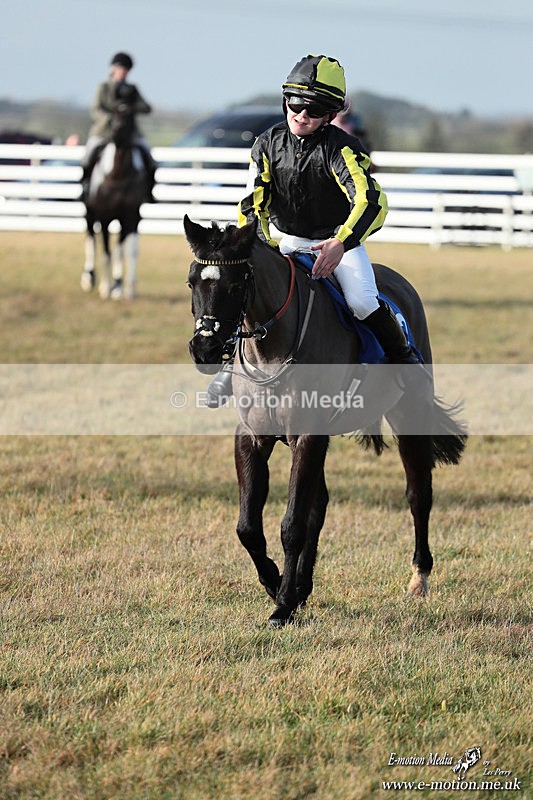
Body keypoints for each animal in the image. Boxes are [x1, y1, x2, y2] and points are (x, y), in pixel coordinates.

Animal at [81, 105, 150, 300]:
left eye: (130, 116)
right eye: (112, 116)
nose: (115, 134)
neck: (118, 174)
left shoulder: (130, 217)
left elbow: (125, 251)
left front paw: (121, 287)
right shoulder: (104, 218)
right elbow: (106, 252)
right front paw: (106, 287)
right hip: (90, 214)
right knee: (91, 240)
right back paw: (89, 279)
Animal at [183, 214, 467, 627]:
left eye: (235, 285)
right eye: (192, 282)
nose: (204, 349)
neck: (272, 347)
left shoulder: (308, 436)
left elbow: (293, 525)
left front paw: (282, 605)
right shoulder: (253, 437)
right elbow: (249, 526)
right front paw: (277, 584)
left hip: (408, 415)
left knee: (419, 494)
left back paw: (419, 577)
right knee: (320, 504)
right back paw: (302, 586)